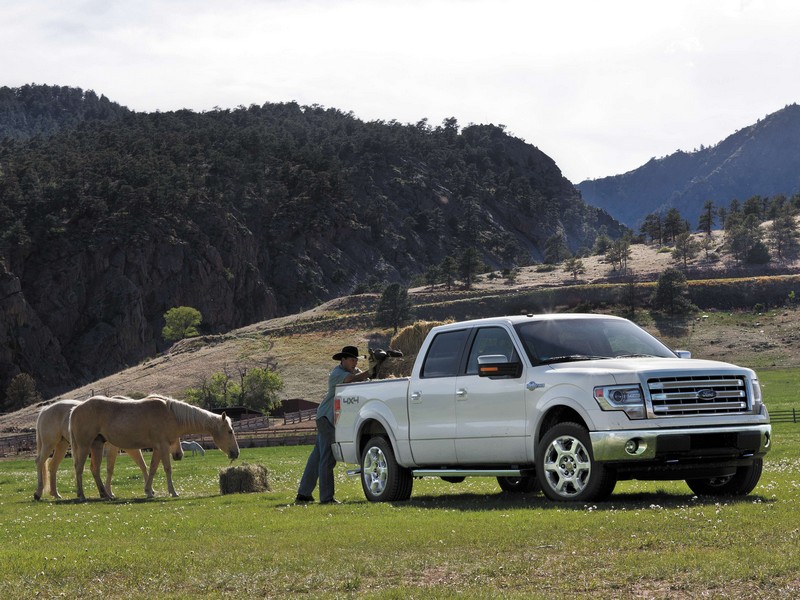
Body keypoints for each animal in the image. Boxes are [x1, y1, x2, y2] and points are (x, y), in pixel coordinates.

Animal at [70, 394, 239, 502]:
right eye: (230, 431)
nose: (235, 453)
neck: (171, 414)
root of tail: (75, 409)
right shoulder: (163, 446)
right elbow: (167, 469)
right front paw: (173, 492)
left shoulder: (158, 448)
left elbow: (152, 468)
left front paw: (149, 491)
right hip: (84, 445)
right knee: (79, 468)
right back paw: (82, 495)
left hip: (97, 445)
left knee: (95, 469)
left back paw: (105, 494)